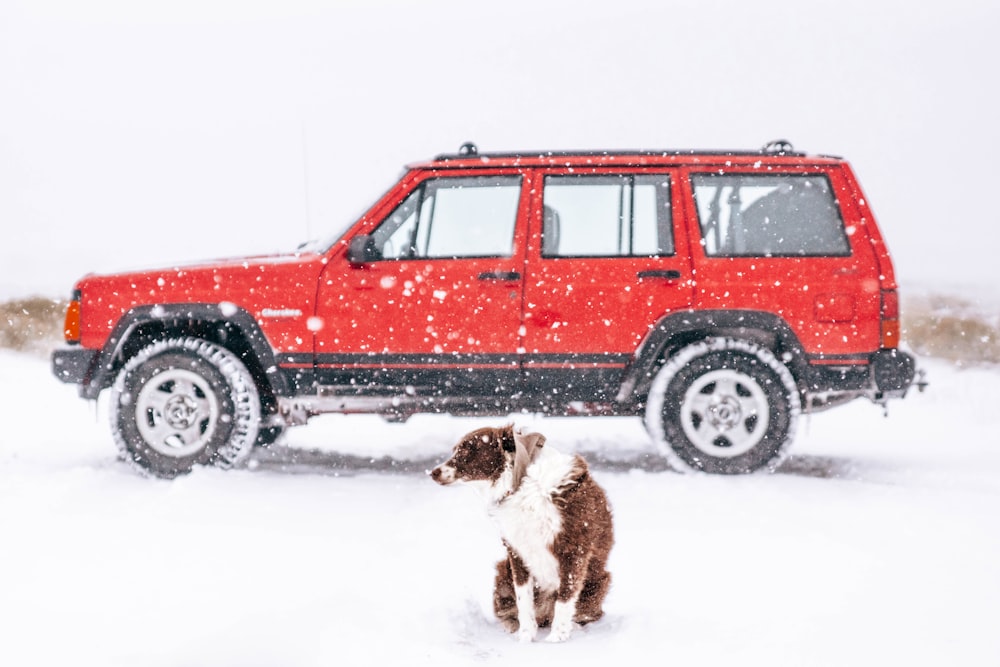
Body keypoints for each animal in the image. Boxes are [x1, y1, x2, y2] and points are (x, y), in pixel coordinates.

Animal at [432, 426, 612, 644]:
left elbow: (565, 597)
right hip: (503, 571)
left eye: (466, 450)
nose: (433, 472)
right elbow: (523, 599)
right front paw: (526, 636)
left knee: (589, 613)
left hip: (599, 579)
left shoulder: (574, 549)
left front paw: (558, 636)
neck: (521, 483)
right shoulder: (516, 549)